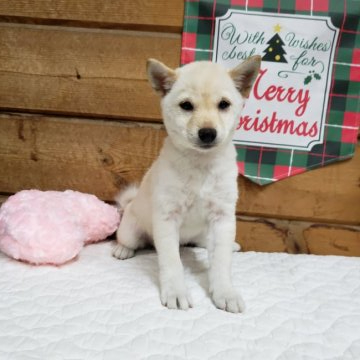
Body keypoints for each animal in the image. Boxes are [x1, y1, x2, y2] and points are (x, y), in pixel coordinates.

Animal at [113, 56, 262, 312]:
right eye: (186, 105)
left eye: (224, 104)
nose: (207, 133)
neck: (201, 165)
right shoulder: (167, 217)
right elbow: (172, 262)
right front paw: (176, 292)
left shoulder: (222, 218)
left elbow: (221, 262)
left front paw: (225, 292)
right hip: (132, 230)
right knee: (129, 239)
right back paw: (123, 249)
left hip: (205, 230)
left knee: (203, 242)